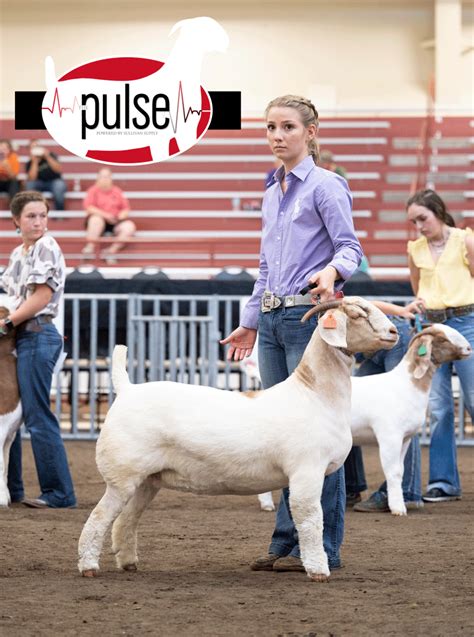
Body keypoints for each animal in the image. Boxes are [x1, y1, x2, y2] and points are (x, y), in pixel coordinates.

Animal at [78, 298, 396, 580]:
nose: (393, 332)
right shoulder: (307, 472)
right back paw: (89, 567)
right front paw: (318, 570)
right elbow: (310, 520)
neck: (313, 393)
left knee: (125, 519)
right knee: (99, 518)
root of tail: (127, 389)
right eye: (358, 314)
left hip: (147, 480)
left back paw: (128, 562)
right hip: (122, 475)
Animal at [350, 326, 472, 516]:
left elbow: (400, 471)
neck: (405, 385)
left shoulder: (405, 438)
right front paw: (398, 509)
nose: (468, 348)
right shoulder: (390, 437)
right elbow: (392, 472)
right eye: (443, 339)